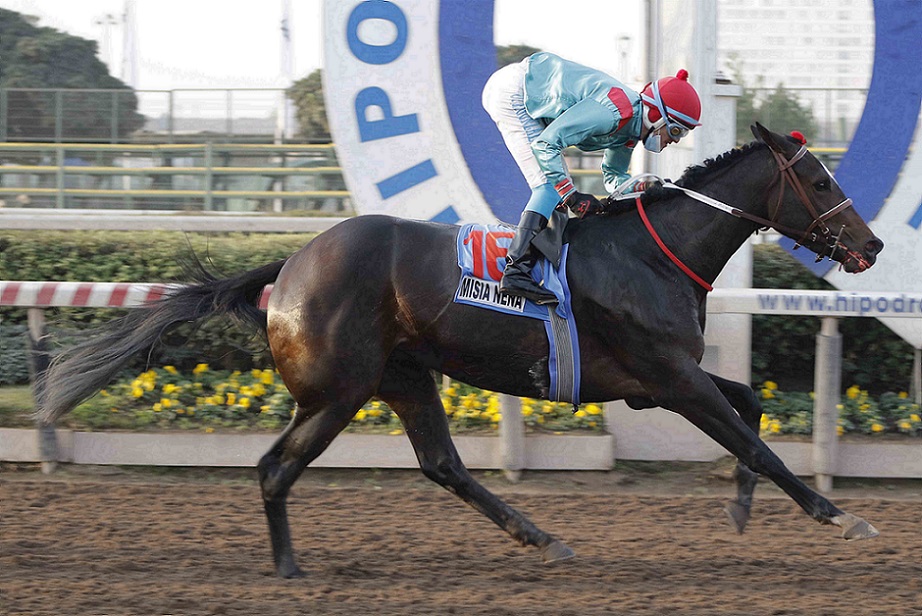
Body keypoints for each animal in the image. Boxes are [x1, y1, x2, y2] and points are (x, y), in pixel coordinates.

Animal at [38, 124, 885, 578]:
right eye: (816, 178)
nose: (872, 244)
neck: (653, 251)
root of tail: (291, 266)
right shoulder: (668, 379)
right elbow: (756, 441)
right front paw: (840, 517)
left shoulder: (660, 381)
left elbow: (751, 409)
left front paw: (740, 507)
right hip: (338, 391)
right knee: (276, 468)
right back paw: (287, 565)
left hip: (405, 376)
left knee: (444, 466)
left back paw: (542, 537)